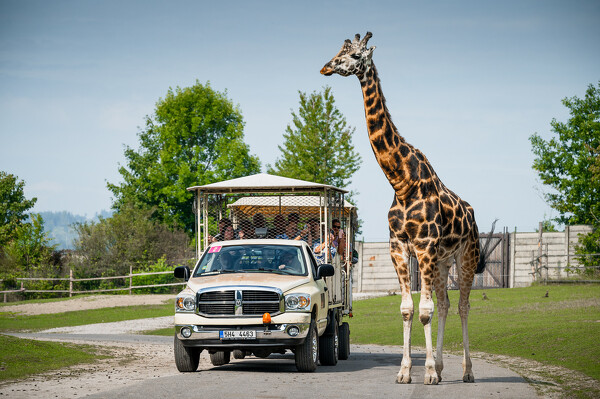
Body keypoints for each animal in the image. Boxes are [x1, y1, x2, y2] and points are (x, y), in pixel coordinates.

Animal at [322, 32, 490, 386]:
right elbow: (408, 309)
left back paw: (466, 371)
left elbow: (424, 310)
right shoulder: (399, 246)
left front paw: (425, 373)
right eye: (338, 50)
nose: (326, 67)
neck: (401, 181)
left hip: (465, 257)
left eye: (355, 55)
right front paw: (407, 371)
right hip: (441, 261)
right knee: (445, 303)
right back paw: (441, 366)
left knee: (463, 306)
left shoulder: (423, 245)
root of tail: (472, 216)